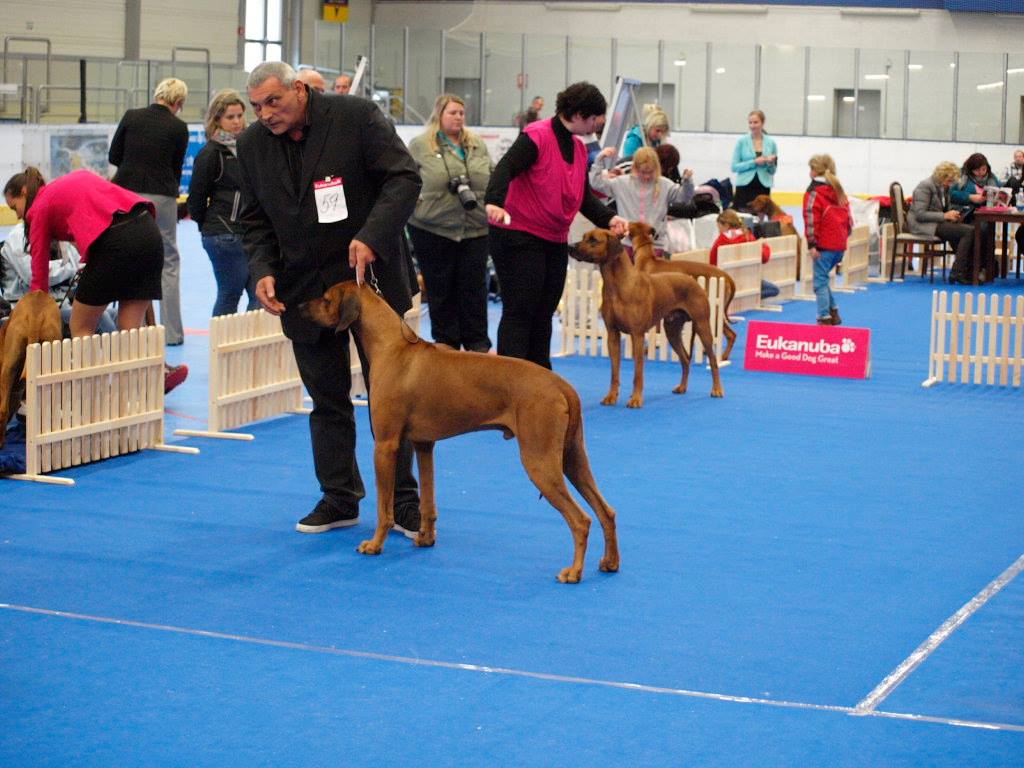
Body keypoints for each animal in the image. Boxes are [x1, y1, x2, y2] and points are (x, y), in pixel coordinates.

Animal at [573, 227, 724, 409]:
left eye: (594, 240)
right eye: (584, 237)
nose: (570, 247)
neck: (618, 285)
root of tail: (694, 281)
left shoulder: (637, 335)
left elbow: (638, 373)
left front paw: (636, 399)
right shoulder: (612, 335)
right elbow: (614, 372)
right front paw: (611, 396)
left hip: (702, 325)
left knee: (713, 360)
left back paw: (717, 389)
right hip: (672, 330)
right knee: (685, 360)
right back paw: (682, 387)